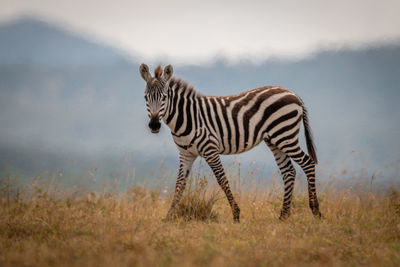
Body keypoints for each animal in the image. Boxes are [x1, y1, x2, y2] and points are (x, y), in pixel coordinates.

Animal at [139, 63, 324, 223]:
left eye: (164, 97)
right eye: (146, 97)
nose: (154, 125)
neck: (186, 117)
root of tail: (293, 94)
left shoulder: (210, 149)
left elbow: (222, 180)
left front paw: (236, 214)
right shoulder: (186, 154)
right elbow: (179, 184)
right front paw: (168, 216)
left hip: (285, 135)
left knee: (307, 163)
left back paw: (316, 211)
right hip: (275, 140)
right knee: (288, 172)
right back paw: (283, 216)